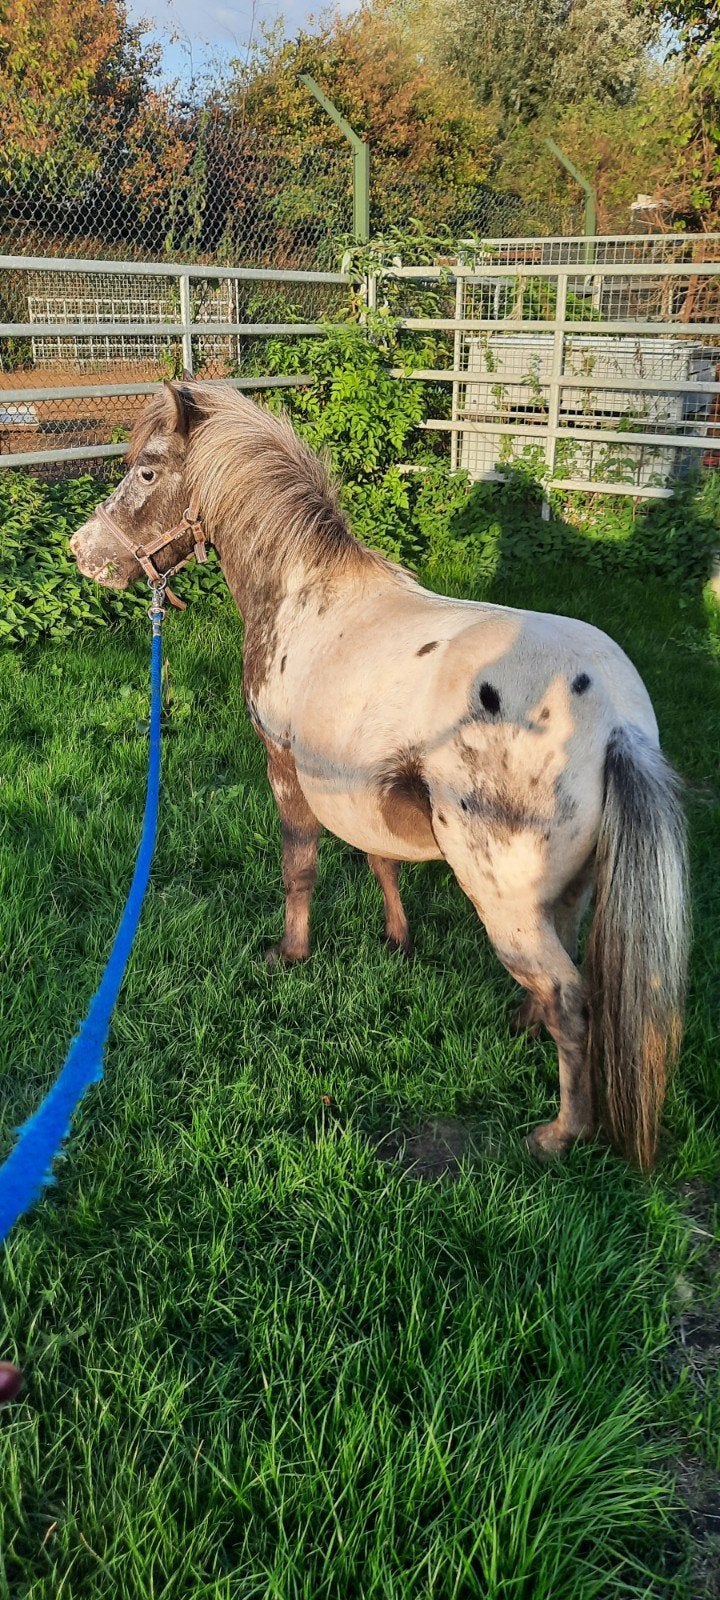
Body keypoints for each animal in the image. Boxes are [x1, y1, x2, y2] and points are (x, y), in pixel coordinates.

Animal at [69, 381, 690, 1171]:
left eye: (147, 471)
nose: (83, 554)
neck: (307, 594)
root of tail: (616, 720)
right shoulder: (355, 784)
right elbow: (378, 859)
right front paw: (397, 939)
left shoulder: (286, 767)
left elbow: (299, 864)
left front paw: (290, 953)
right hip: (568, 890)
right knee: (562, 965)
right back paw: (523, 1023)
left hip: (504, 902)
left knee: (570, 998)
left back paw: (559, 1133)